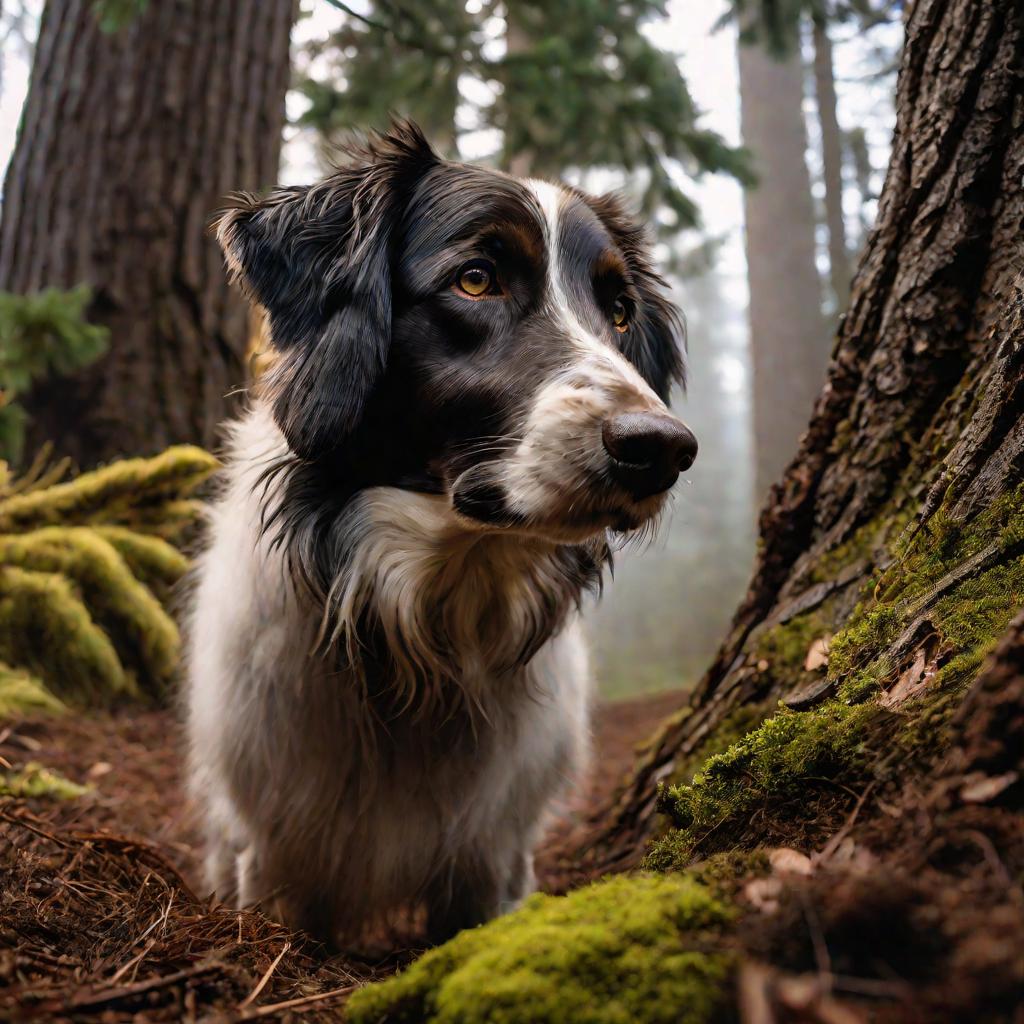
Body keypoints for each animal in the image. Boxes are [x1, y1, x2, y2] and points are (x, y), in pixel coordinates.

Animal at [184, 123, 696, 946]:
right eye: (477, 280)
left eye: (619, 311)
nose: (662, 448)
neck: (428, 627)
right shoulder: (267, 852)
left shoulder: (495, 861)